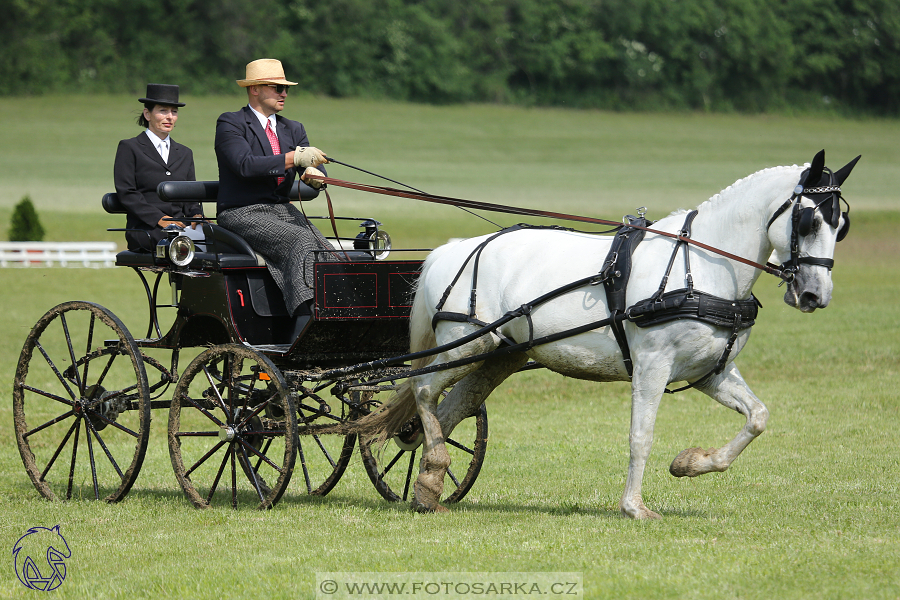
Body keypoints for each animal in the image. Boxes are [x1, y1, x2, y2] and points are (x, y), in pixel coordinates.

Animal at [350, 151, 856, 520]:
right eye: (809, 221)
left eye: (840, 226)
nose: (816, 294)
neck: (702, 266)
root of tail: (454, 248)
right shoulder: (652, 365)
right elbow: (641, 435)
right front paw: (634, 507)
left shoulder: (711, 372)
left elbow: (758, 417)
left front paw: (690, 463)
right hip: (467, 342)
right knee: (424, 390)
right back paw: (433, 467)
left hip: (498, 354)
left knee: (453, 406)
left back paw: (427, 486)